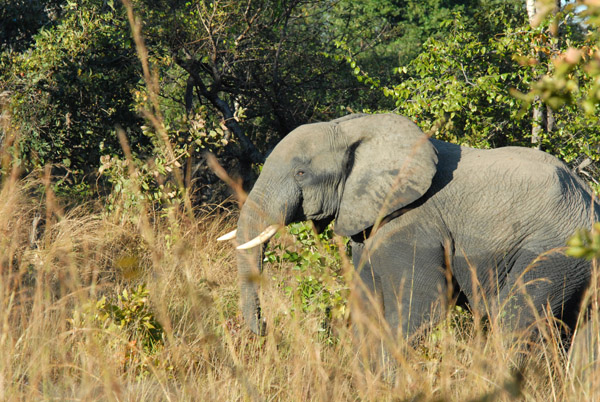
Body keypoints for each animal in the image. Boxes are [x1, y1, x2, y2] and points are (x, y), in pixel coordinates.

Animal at [218, 113, 596, 340]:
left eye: (301, 173)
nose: (263, 329)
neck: (357, 128)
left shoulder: (414, 226)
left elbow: (419, 309)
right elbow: (368, 307)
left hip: (552, 252)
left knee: (515, 322)